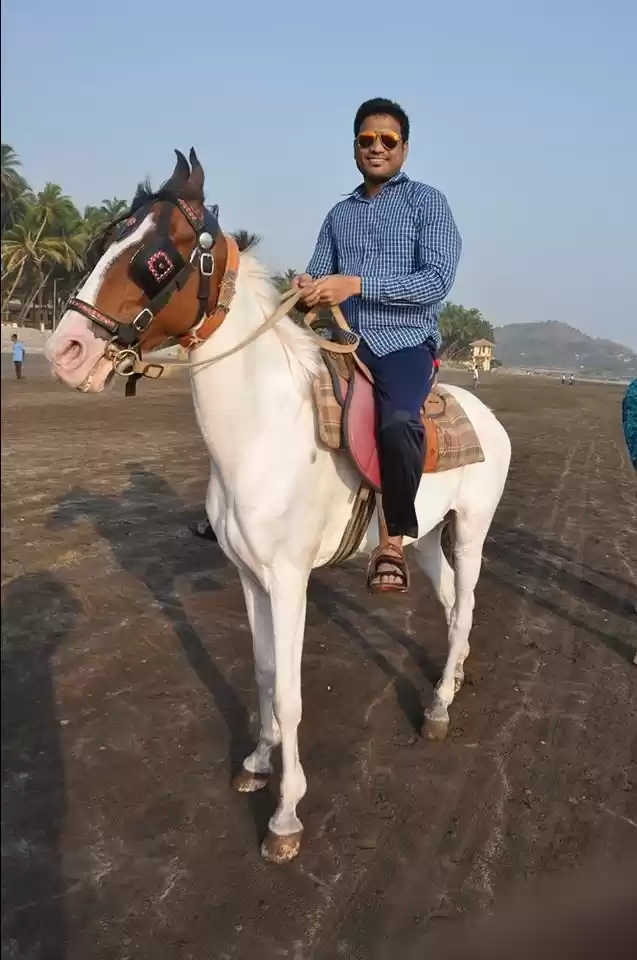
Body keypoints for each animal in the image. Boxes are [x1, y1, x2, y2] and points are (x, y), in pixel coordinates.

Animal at [45, 149, 512, 863]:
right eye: (104, 241)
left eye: (156, 260)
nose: (65, 350)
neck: (262, 433)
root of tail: (487, 415)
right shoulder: (248, 575)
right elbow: (265, 673)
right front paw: (257, 764)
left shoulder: (290, 582)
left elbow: (290, 695)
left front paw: (286, 816)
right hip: (427, 537)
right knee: (454, 600)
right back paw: (450, 681)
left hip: (472, 530)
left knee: (464, 607)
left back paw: (437, 709)